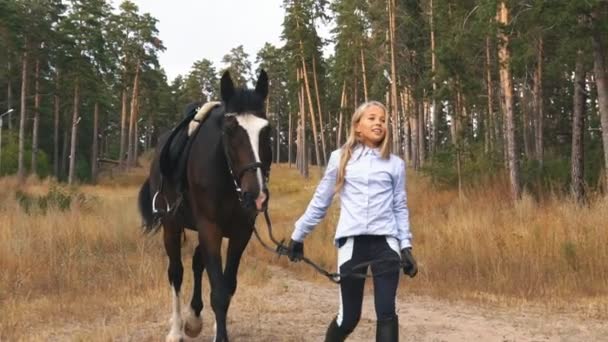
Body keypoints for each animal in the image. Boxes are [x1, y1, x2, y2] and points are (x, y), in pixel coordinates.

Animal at [139, 70, 272, 342]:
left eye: (267, 131)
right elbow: (219, 292)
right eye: (230, 131)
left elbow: (227, 286)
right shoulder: (210, 228)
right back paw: (176, 328)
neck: (228, 178)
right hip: (171, 225)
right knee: (176, 272)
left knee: (196, 263)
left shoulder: (240, 232)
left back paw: (193, 318)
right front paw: (218, 335)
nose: (256, 195)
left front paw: (206, 324)